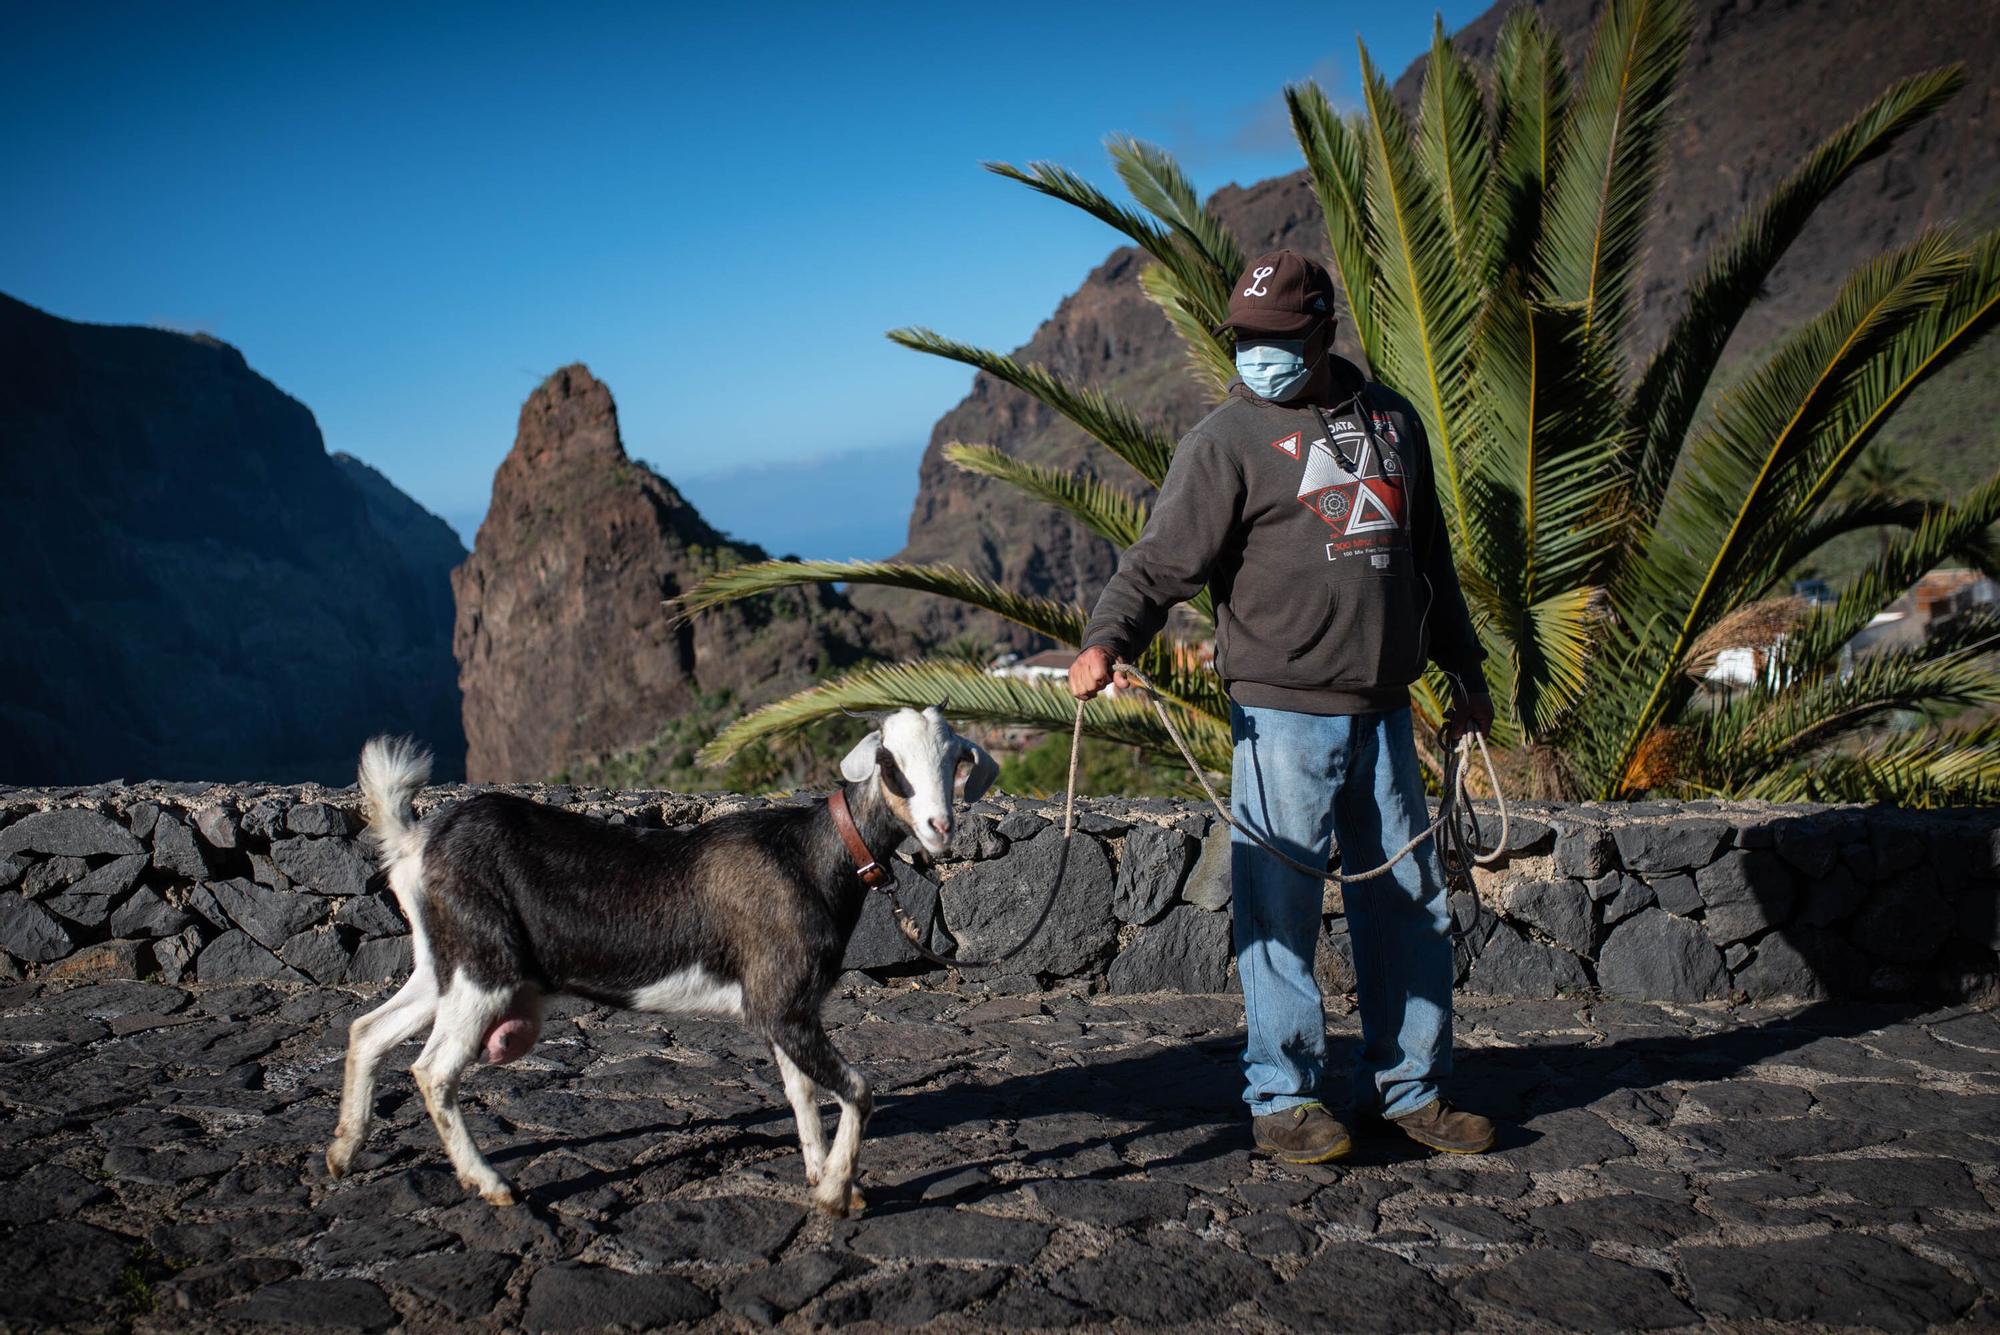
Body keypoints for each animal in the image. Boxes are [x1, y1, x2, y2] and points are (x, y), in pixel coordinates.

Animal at [322, 715, 1000, 1215]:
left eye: (954, 762)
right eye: (889, 763)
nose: (940, 827)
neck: (816, 854)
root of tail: (416, 842)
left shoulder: (786, 1007)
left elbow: (802, 1091)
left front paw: (820, 1174)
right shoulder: (782, 1004)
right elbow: (858, 1089)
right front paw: (836, 1193)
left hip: (446, 966)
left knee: (367, 1030)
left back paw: (343, 1151)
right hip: (482, 971)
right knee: (433, 1070)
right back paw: (490, 1184)